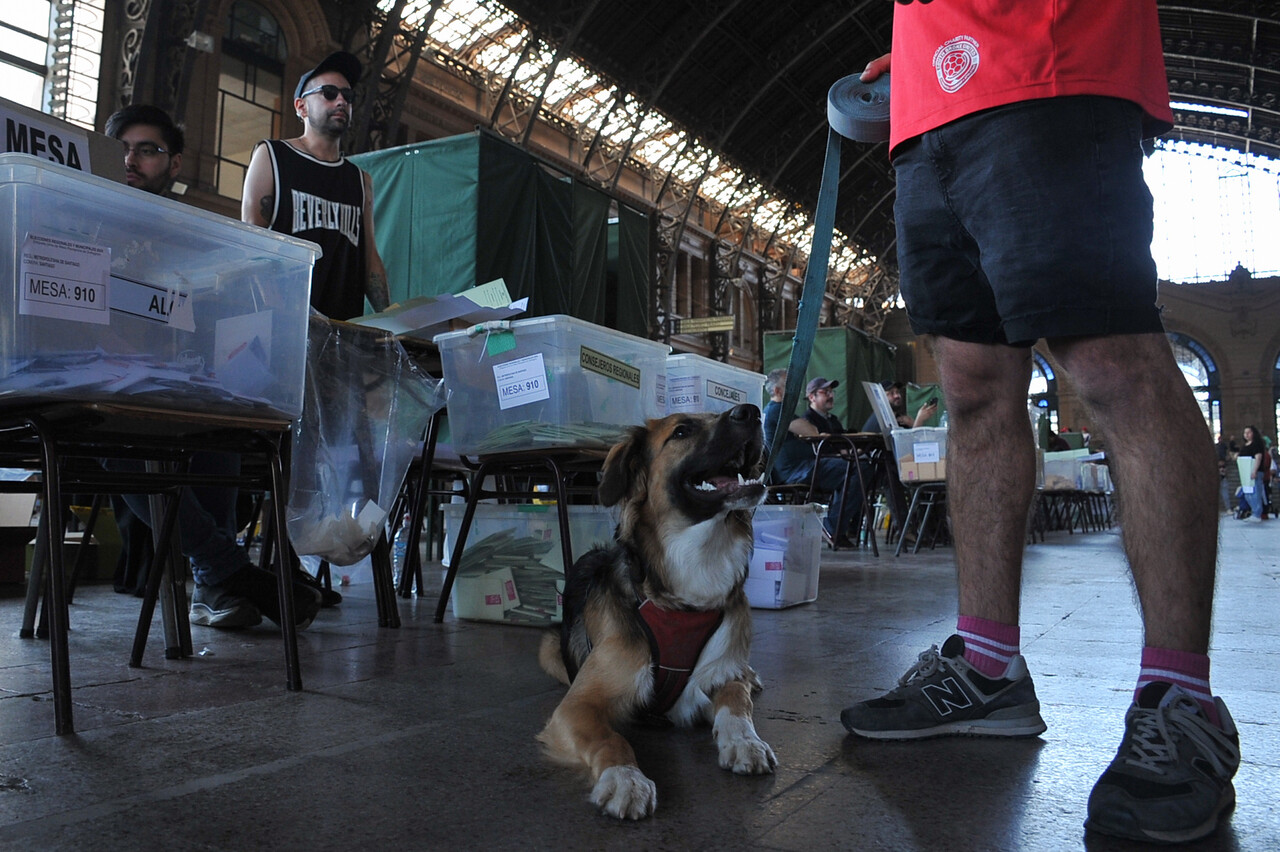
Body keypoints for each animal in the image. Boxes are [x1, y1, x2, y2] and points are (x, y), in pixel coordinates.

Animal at [535, 404, 773, 818]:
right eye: (681, 431)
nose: (752, 411)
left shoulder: (720, 673)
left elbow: (736, 702)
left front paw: (745, 741)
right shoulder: (577, 706)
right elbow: (610, 739)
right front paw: (625, 778)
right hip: (548, 649)